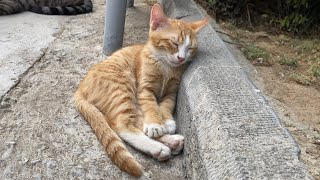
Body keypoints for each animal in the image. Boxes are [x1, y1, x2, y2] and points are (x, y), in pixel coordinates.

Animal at [74, 3, 209, 176]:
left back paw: (171, 141)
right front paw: (156, 124)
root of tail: (81, 86)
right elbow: (151, 106)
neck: (166, 67)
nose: (181, 58)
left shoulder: (171, 92)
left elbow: (166, 105)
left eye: (190, 48)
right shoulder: (144, 89)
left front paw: (167, 122)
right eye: (174, 43)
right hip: (123, 87)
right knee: (122, 126)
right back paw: (158, 147)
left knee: (136, 123)